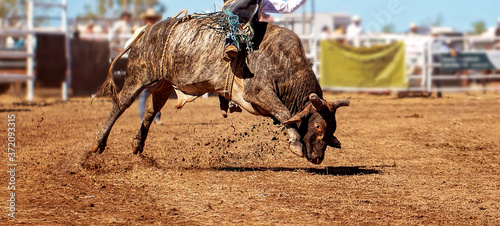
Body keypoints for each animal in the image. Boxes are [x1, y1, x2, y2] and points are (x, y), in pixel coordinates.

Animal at [91, 10, 348, 164]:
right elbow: (285, 112)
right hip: (139, 74)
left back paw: (138, 144)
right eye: (318, 126)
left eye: (331, 130)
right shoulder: (257, 92)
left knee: (151, 110)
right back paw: (98, 142)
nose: (318, 157)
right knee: (121, 103)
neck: (283, 60)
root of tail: (146, 31)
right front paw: (295, 144)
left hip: (163, 84)